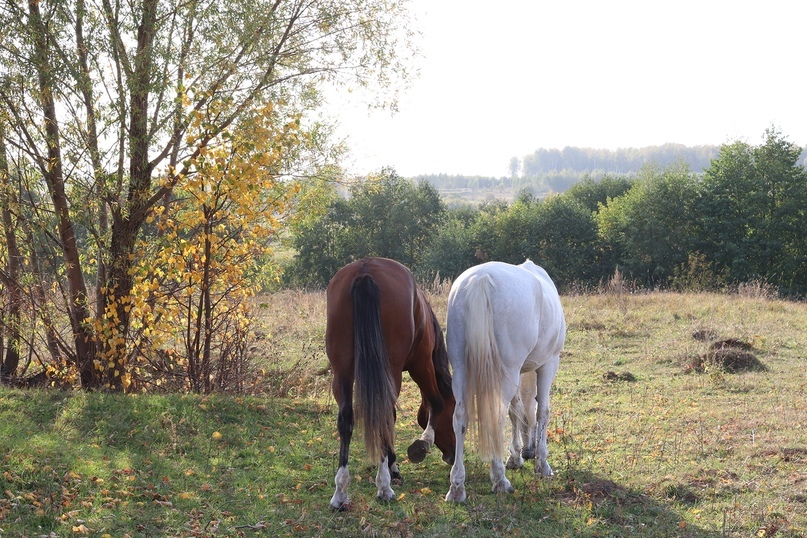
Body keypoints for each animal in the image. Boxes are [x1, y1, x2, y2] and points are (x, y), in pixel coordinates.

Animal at [326, 255, 454, 506]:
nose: (452, 456)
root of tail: (365, 272)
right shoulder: (421, 364)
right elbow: (436, 402)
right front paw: (419, 446)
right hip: (396, 369)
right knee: (385, 415)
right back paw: (384, 487)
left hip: (342, 372)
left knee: (346, 419)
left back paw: (340, 492)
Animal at [442, 258, 568, 500]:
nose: (528, 452)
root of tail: (481, 278)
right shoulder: (548, 364)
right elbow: (541, 411)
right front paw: (542, 463)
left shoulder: (517, 373)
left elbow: (516, 411)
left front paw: (516, 457)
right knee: (496, 416)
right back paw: (500, 480)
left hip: (461, 369)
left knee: (460, 417)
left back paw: (457, 486)